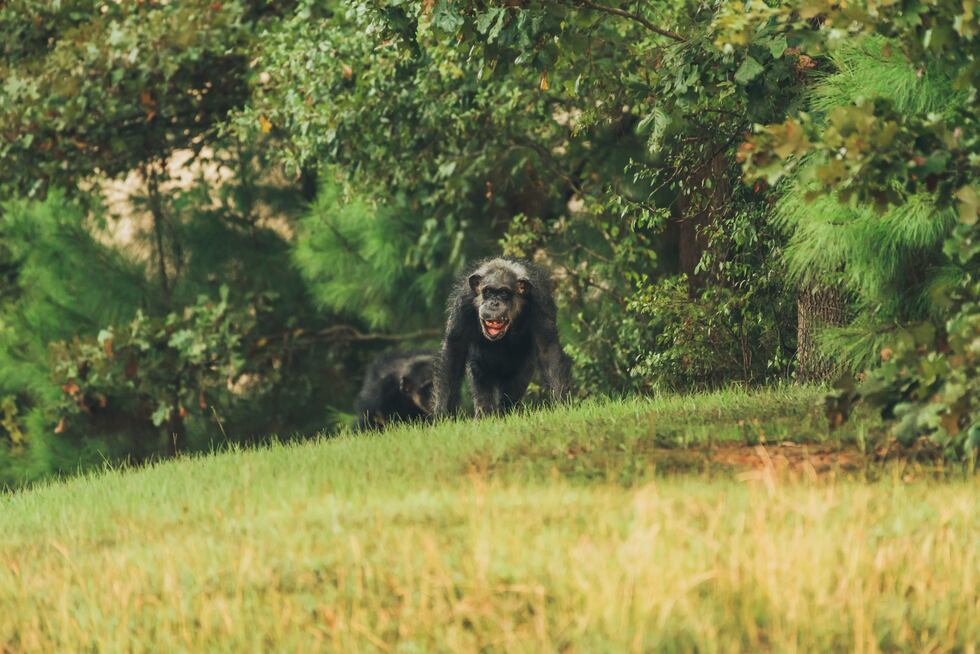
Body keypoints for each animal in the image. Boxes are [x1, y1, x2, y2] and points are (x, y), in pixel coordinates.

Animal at [433, 257, 572, 418]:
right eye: (488, 291)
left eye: (504, 293)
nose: (493, 303)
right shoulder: (464, 301)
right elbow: (455, 349)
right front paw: (441, 413)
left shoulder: (540, 301)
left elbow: (547, 349)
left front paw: (562, 404)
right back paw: (485, 414)